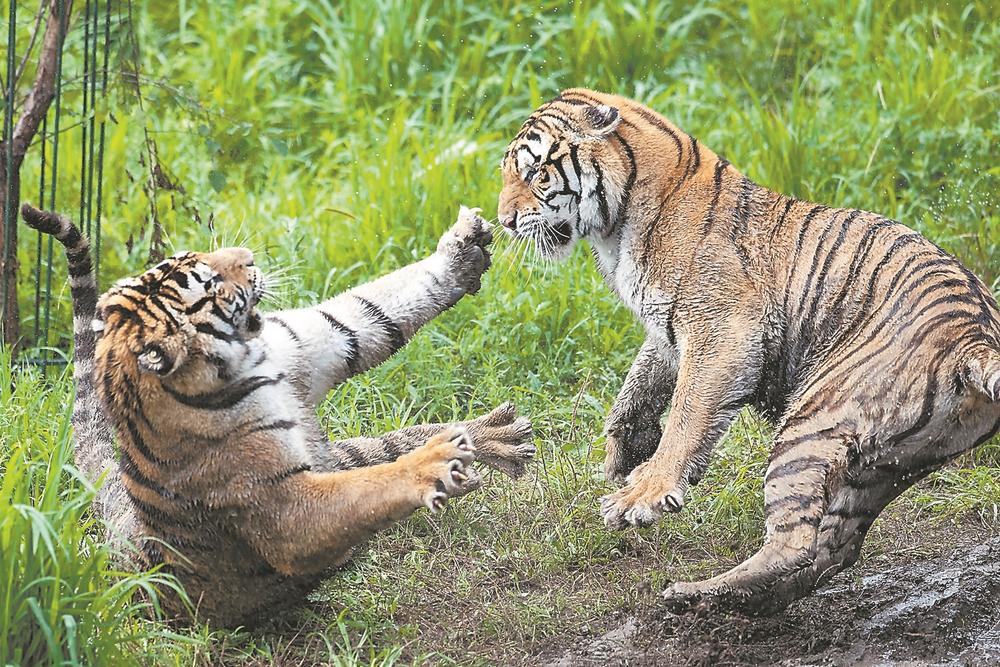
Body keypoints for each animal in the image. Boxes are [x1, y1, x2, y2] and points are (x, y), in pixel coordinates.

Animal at [21, 203, 535, 628]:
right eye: (210, 284)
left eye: (190, 256)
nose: (249, 255)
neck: (251, 359)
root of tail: (121, 519)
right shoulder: (281, 507)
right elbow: (373, 487)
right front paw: (431, 465)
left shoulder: (310, 342)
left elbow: (367, 310)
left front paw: (463, 248)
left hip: (346, 450)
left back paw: (497, 436)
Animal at [497, 88, 1000, 613]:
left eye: (536, 172)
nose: (504, 221)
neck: (617, 225)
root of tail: (975, 337)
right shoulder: (668, 330)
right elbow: (635, 389)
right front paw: (622, 455)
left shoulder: (722, 329)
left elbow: (686, 415)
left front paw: (643, 492)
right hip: (884, 468)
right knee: (831, 550)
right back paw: (726, 601)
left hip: (811, 424)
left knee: (795, 544)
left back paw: (695, 596)